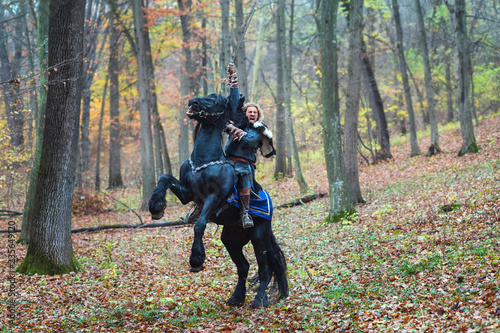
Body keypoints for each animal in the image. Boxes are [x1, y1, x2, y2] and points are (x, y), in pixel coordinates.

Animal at [147, 92, 290, 306]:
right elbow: (164, 178)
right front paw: (156, 207)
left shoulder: (214, 198)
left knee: (263, 268)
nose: (193, 102)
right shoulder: (187, 193)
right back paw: (236, 298)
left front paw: (196, 260)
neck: (204, 160)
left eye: (215, 100)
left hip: (259, 237)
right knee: (244, 266)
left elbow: (200, 224)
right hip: (231, 239)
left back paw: (259, 300)